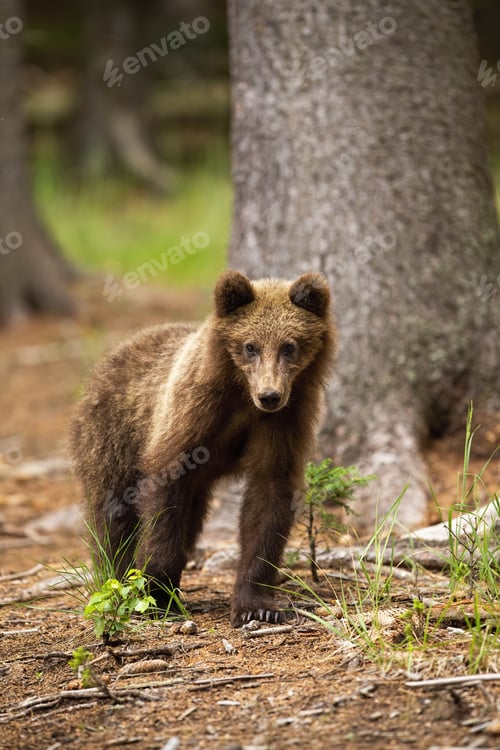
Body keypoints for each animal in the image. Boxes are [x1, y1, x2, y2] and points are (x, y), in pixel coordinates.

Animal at [70, 270, 336, 626]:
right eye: (250, 346)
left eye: (289, 346)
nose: (269, 395)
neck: (240, 392)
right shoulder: (191, 412)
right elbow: (163, 496)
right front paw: (157, 591)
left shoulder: (284, 421)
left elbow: (268, 497)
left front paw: (257, 606)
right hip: (113, 435)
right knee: (113, 512)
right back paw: (116, 580)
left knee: (191, 518)